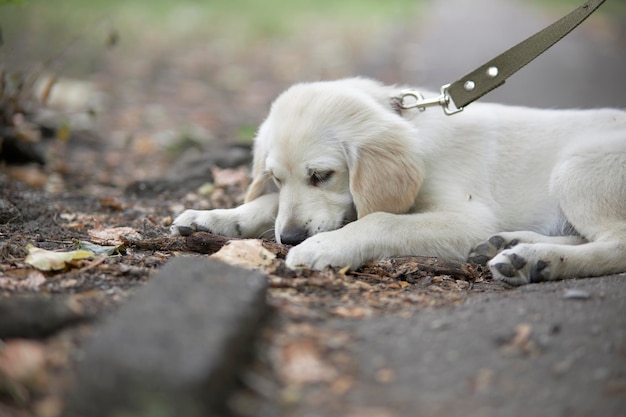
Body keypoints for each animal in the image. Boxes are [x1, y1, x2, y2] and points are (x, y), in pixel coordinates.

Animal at [171, 77, 624, 286]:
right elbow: (269, 206)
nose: (291, 238)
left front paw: (324, 246)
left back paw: (533, 259)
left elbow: (381, 219)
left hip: (578, 169)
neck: (416, 136)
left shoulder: (467, 217)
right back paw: (511, 245)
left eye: (322, 175)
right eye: (275, 178)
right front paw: (216, 217)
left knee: (616, 244)